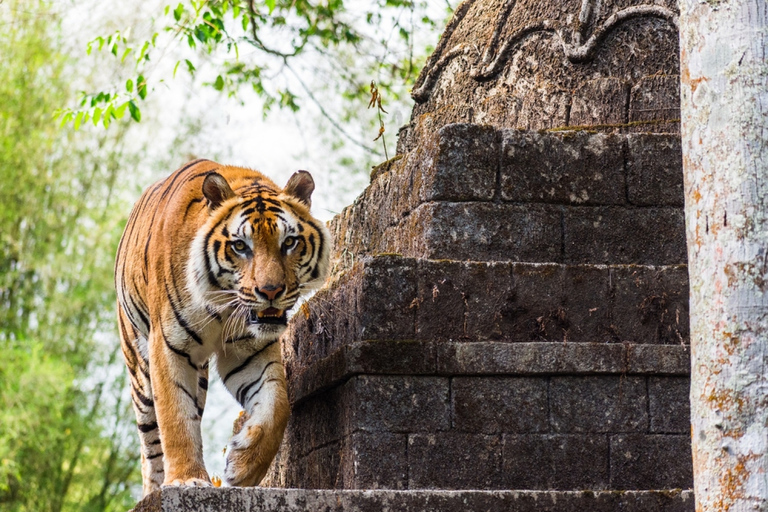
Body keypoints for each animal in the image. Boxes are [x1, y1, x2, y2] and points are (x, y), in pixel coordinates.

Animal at [115, 160, 330, 496]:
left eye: (289, 242)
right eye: (240, 246)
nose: (270, 291)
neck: (224, 308)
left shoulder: (249, 352)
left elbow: (277, 403)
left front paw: (243, 467)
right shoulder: (168, 346)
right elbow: (176, 417)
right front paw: (186, 479)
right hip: (139, 369)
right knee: (150, 444)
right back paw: (153, 490)